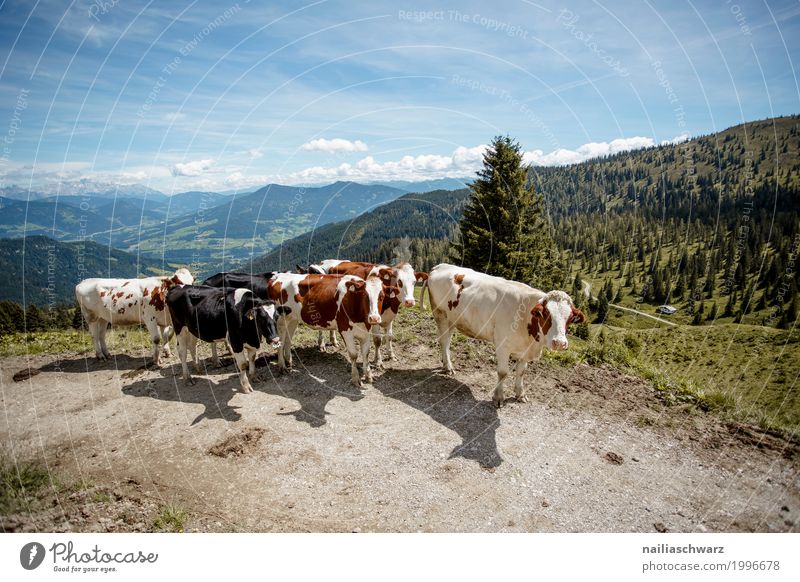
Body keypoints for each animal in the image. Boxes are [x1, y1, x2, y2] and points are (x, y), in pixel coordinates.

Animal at [428, 262, 584, 408]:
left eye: (570, 318)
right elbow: (503, 372)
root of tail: (441, 266)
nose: (560, 343)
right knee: (444, 341)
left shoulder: (525, 350)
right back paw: (448, 367)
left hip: (452, 319)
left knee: (447, 341)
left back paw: (446, 364)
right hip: (440, 314)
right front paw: (498, 397)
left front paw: (520, 394)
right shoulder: (503, 345)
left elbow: (521, 372)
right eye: (545, 314)